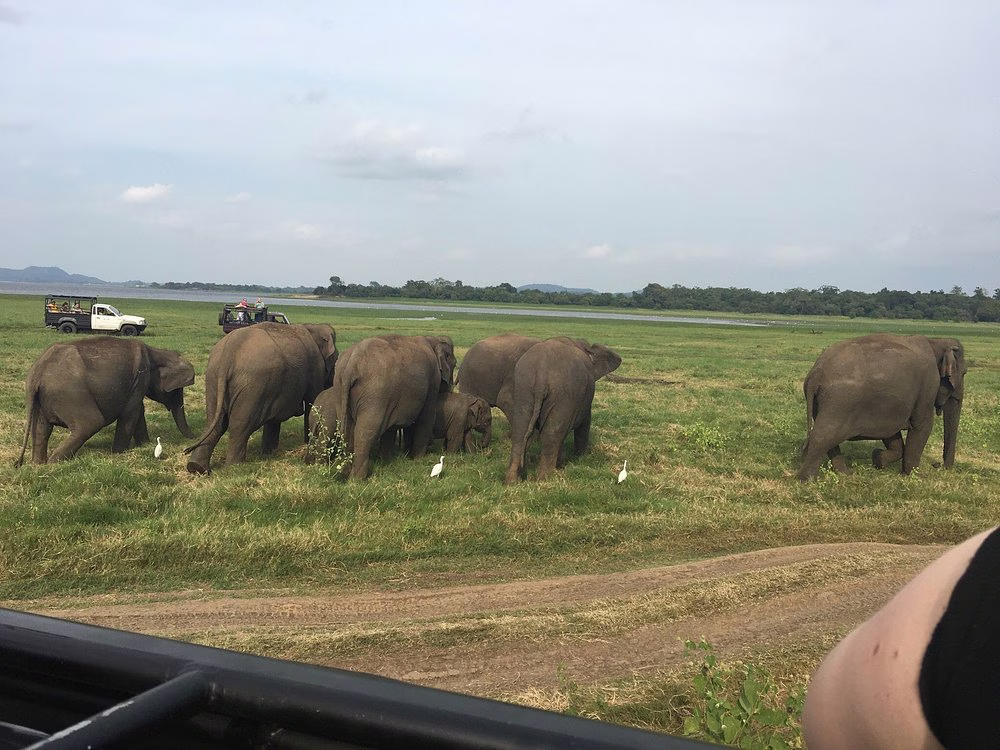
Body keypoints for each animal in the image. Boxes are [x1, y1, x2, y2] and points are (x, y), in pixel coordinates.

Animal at [15, 337, 195, 465]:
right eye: (177, 390)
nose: (191, 440)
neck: (156, 351)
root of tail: (37, 373)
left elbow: (138, 410)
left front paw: (144, 445)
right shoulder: (140, 377)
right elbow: (131, 412)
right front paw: (118, 453)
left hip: (41, 400)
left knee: (41, 431)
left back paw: (39, 465)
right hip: (71, 395)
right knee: (91, 424)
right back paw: (54, 463)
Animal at [185, 322, 337, 474]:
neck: (311, 327)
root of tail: (228, 353)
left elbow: (275, 419)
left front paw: (268, 453)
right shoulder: (315, 366)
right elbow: (312, 401)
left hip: (213, 378)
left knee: (214, 421)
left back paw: (197, 467)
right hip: (253, 385)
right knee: (239, 425)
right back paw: (234, 468)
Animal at [332, 334, 456, 480]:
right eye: (455, 364)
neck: (432, 340)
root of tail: (352, 364)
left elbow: (391, 428)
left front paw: (385, 461)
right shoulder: (433, 381)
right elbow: (426, 417)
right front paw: (418, 459)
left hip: (339, 388)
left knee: (346, 427)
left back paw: (346, 474)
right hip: (375, 394)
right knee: (365, 431)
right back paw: (357, 479)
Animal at [504, 337, 622, 484]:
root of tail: (541, 374)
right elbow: (584, 424)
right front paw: (580, 459)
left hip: (524, 389)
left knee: (520, 432)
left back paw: (511, 482)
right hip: (563, 395)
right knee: (552, 435)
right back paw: (545, 479)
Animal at [798, 334, 967, 481]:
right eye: (964, 373)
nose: (939, 466)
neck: (935, 341)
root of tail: (815, 374)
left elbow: (891, 432)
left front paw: (878, 459)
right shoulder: (928, 385)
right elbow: (922, 426)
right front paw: (912, 476)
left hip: (821, 403)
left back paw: (845, 474)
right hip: (839, 402)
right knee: (822, 436)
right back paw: (807, 480)